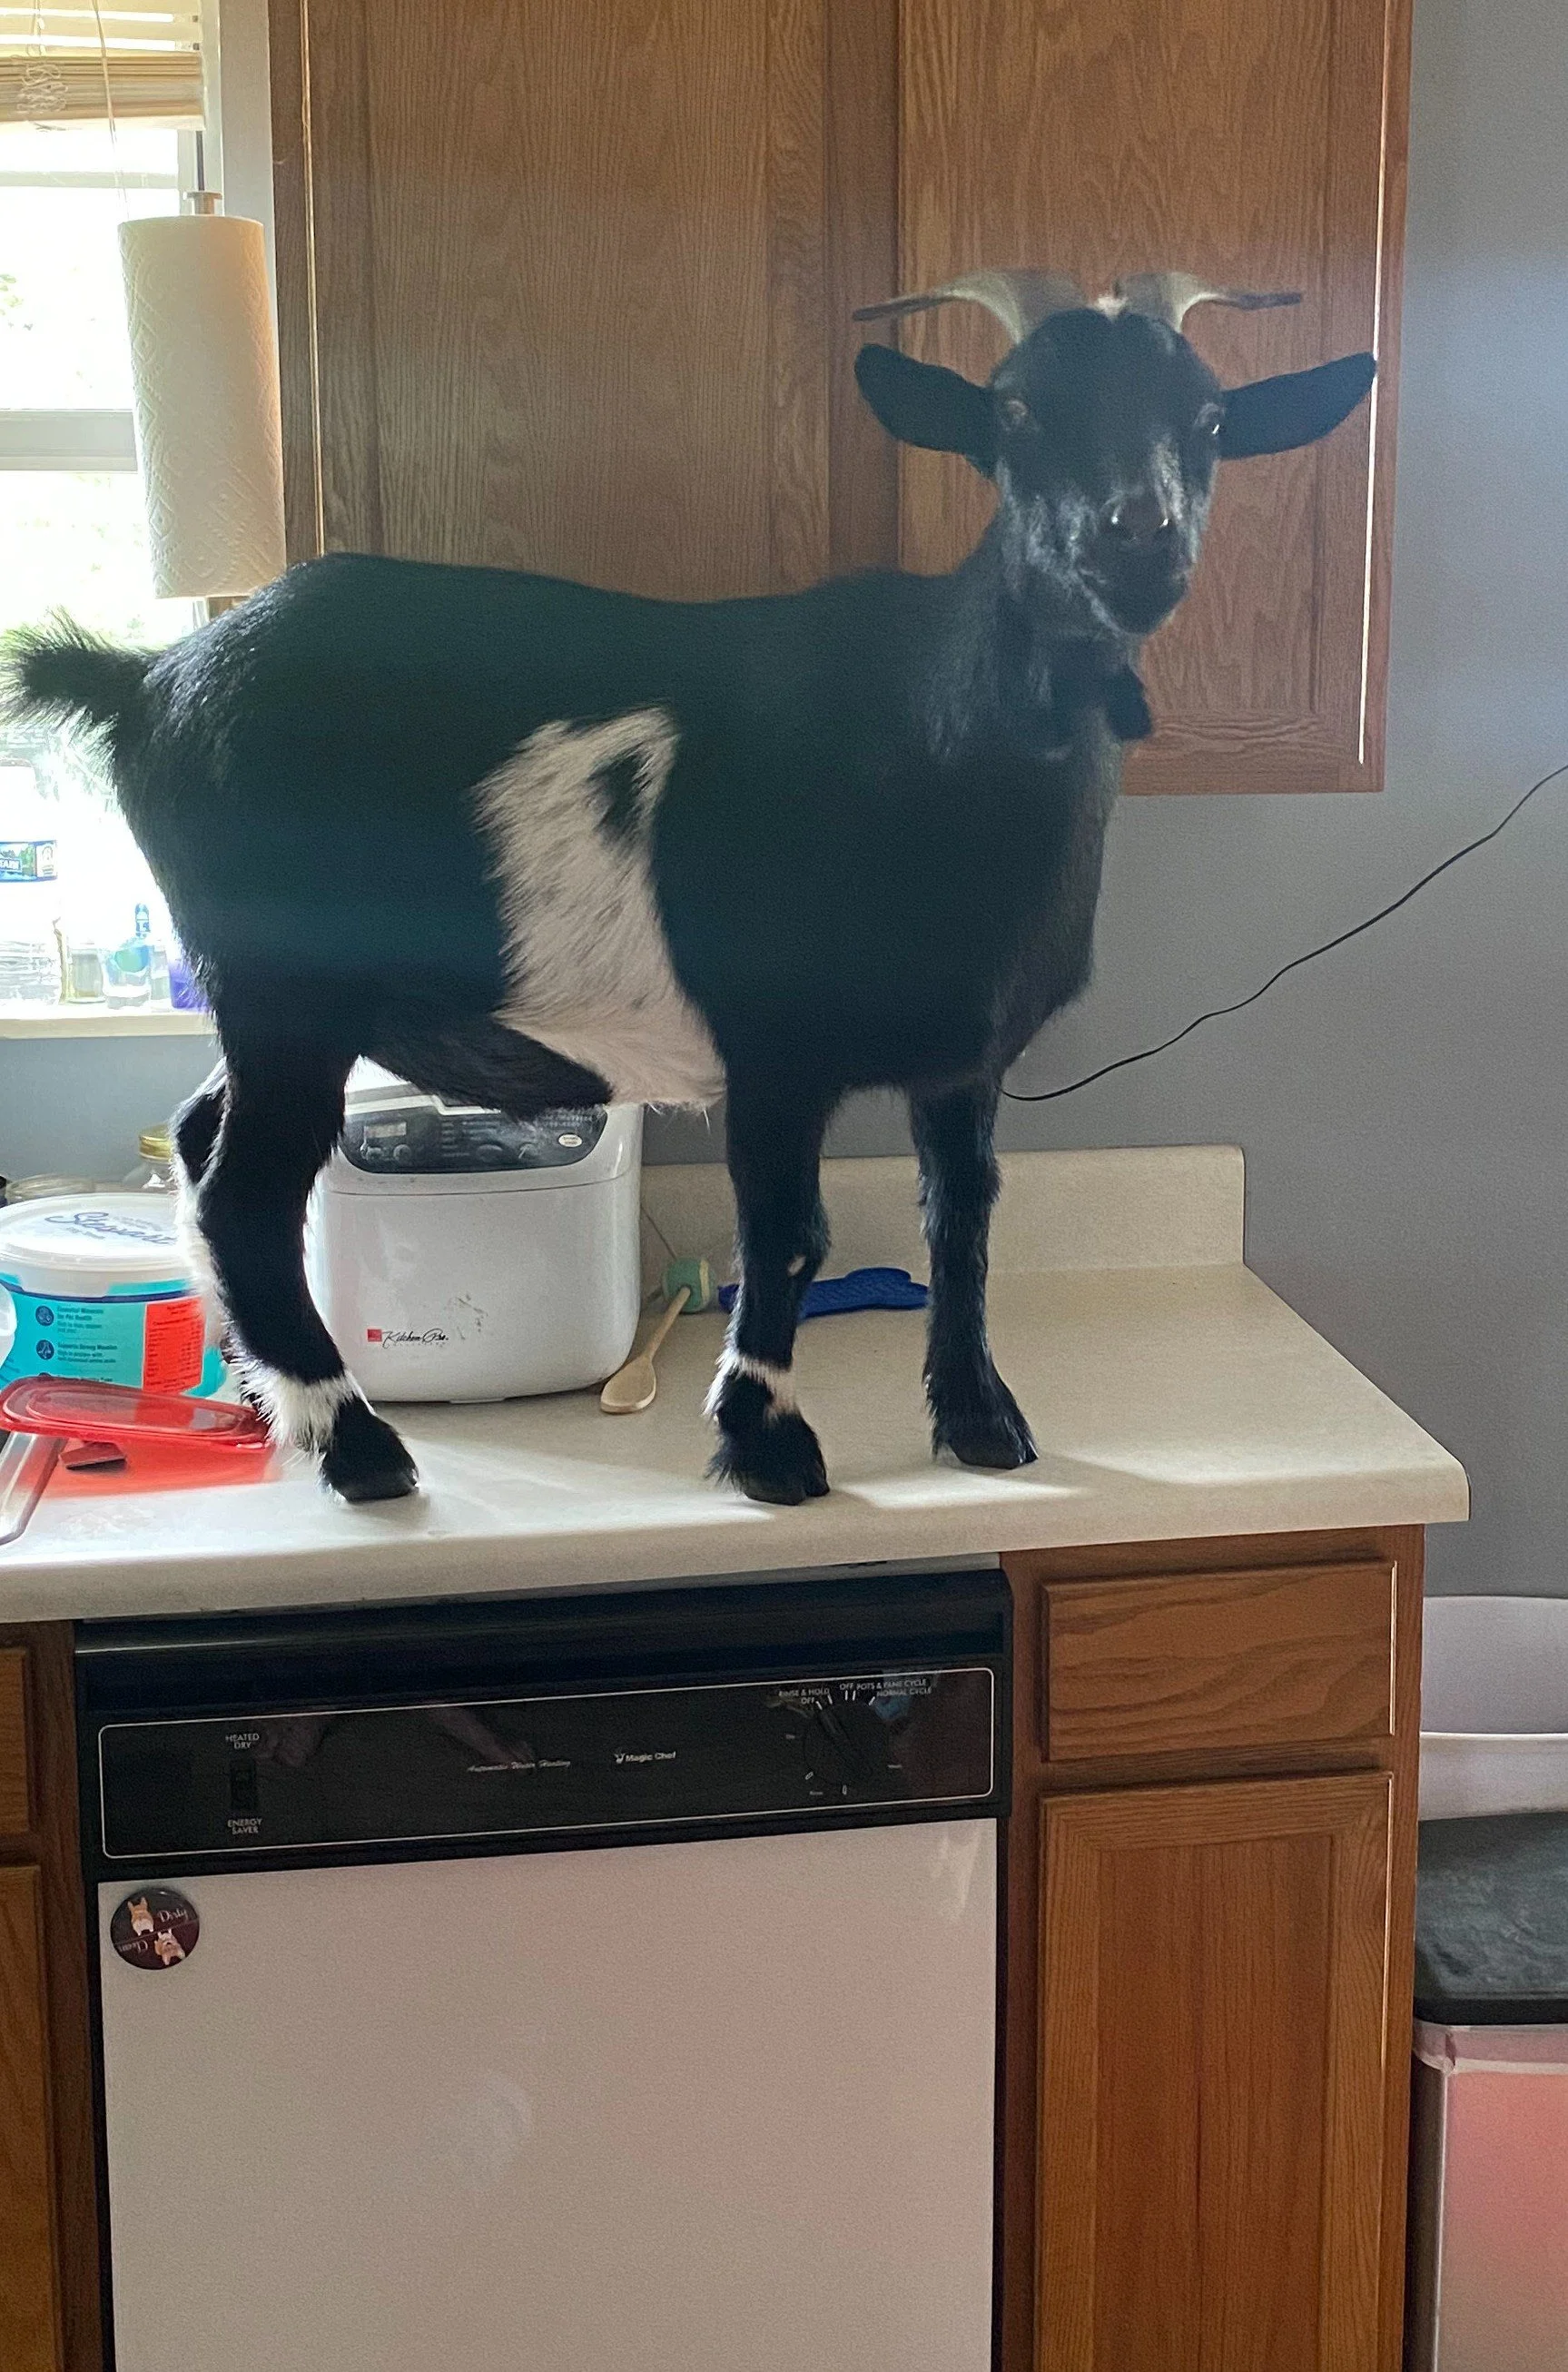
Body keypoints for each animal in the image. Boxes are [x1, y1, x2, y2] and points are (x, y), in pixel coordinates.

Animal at [4, 268, 1375, 1507]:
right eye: (1014, 412)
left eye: (1208, 420)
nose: (1134, 537)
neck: (947, 735)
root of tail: (141, 679)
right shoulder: (772, 1041)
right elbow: (788, 1234)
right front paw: (767, 1445)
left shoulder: (964, 1057)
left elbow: (963, 1220)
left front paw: (980, 1422)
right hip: (285, 984)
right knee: (244, 1189)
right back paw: (359, 1447)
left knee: (198, 1141)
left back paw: (272, 1405)